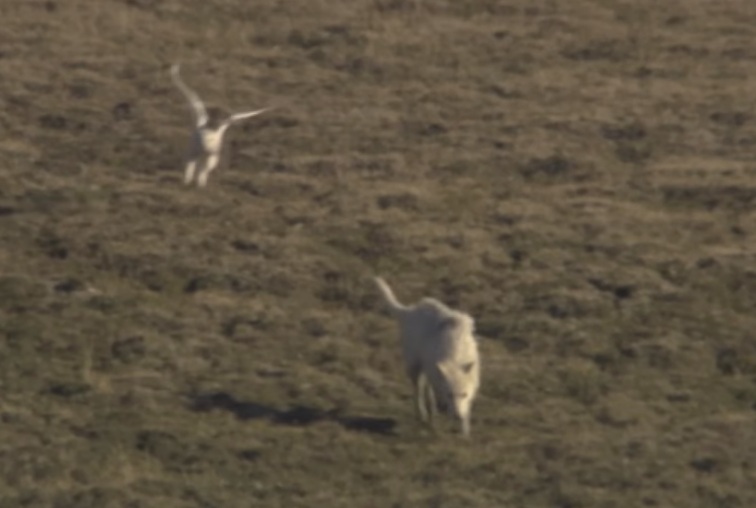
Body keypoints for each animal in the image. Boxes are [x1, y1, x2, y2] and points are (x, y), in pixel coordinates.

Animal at [376, 276, 482, 434]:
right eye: (449, 394)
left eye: (463, 394)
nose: (457, 417)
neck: (456, 354)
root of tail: (410, 311)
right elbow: (431, 396)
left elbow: (466, 409)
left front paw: (465, 430)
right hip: (415, 368)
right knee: (418, 391)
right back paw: (422, 414)